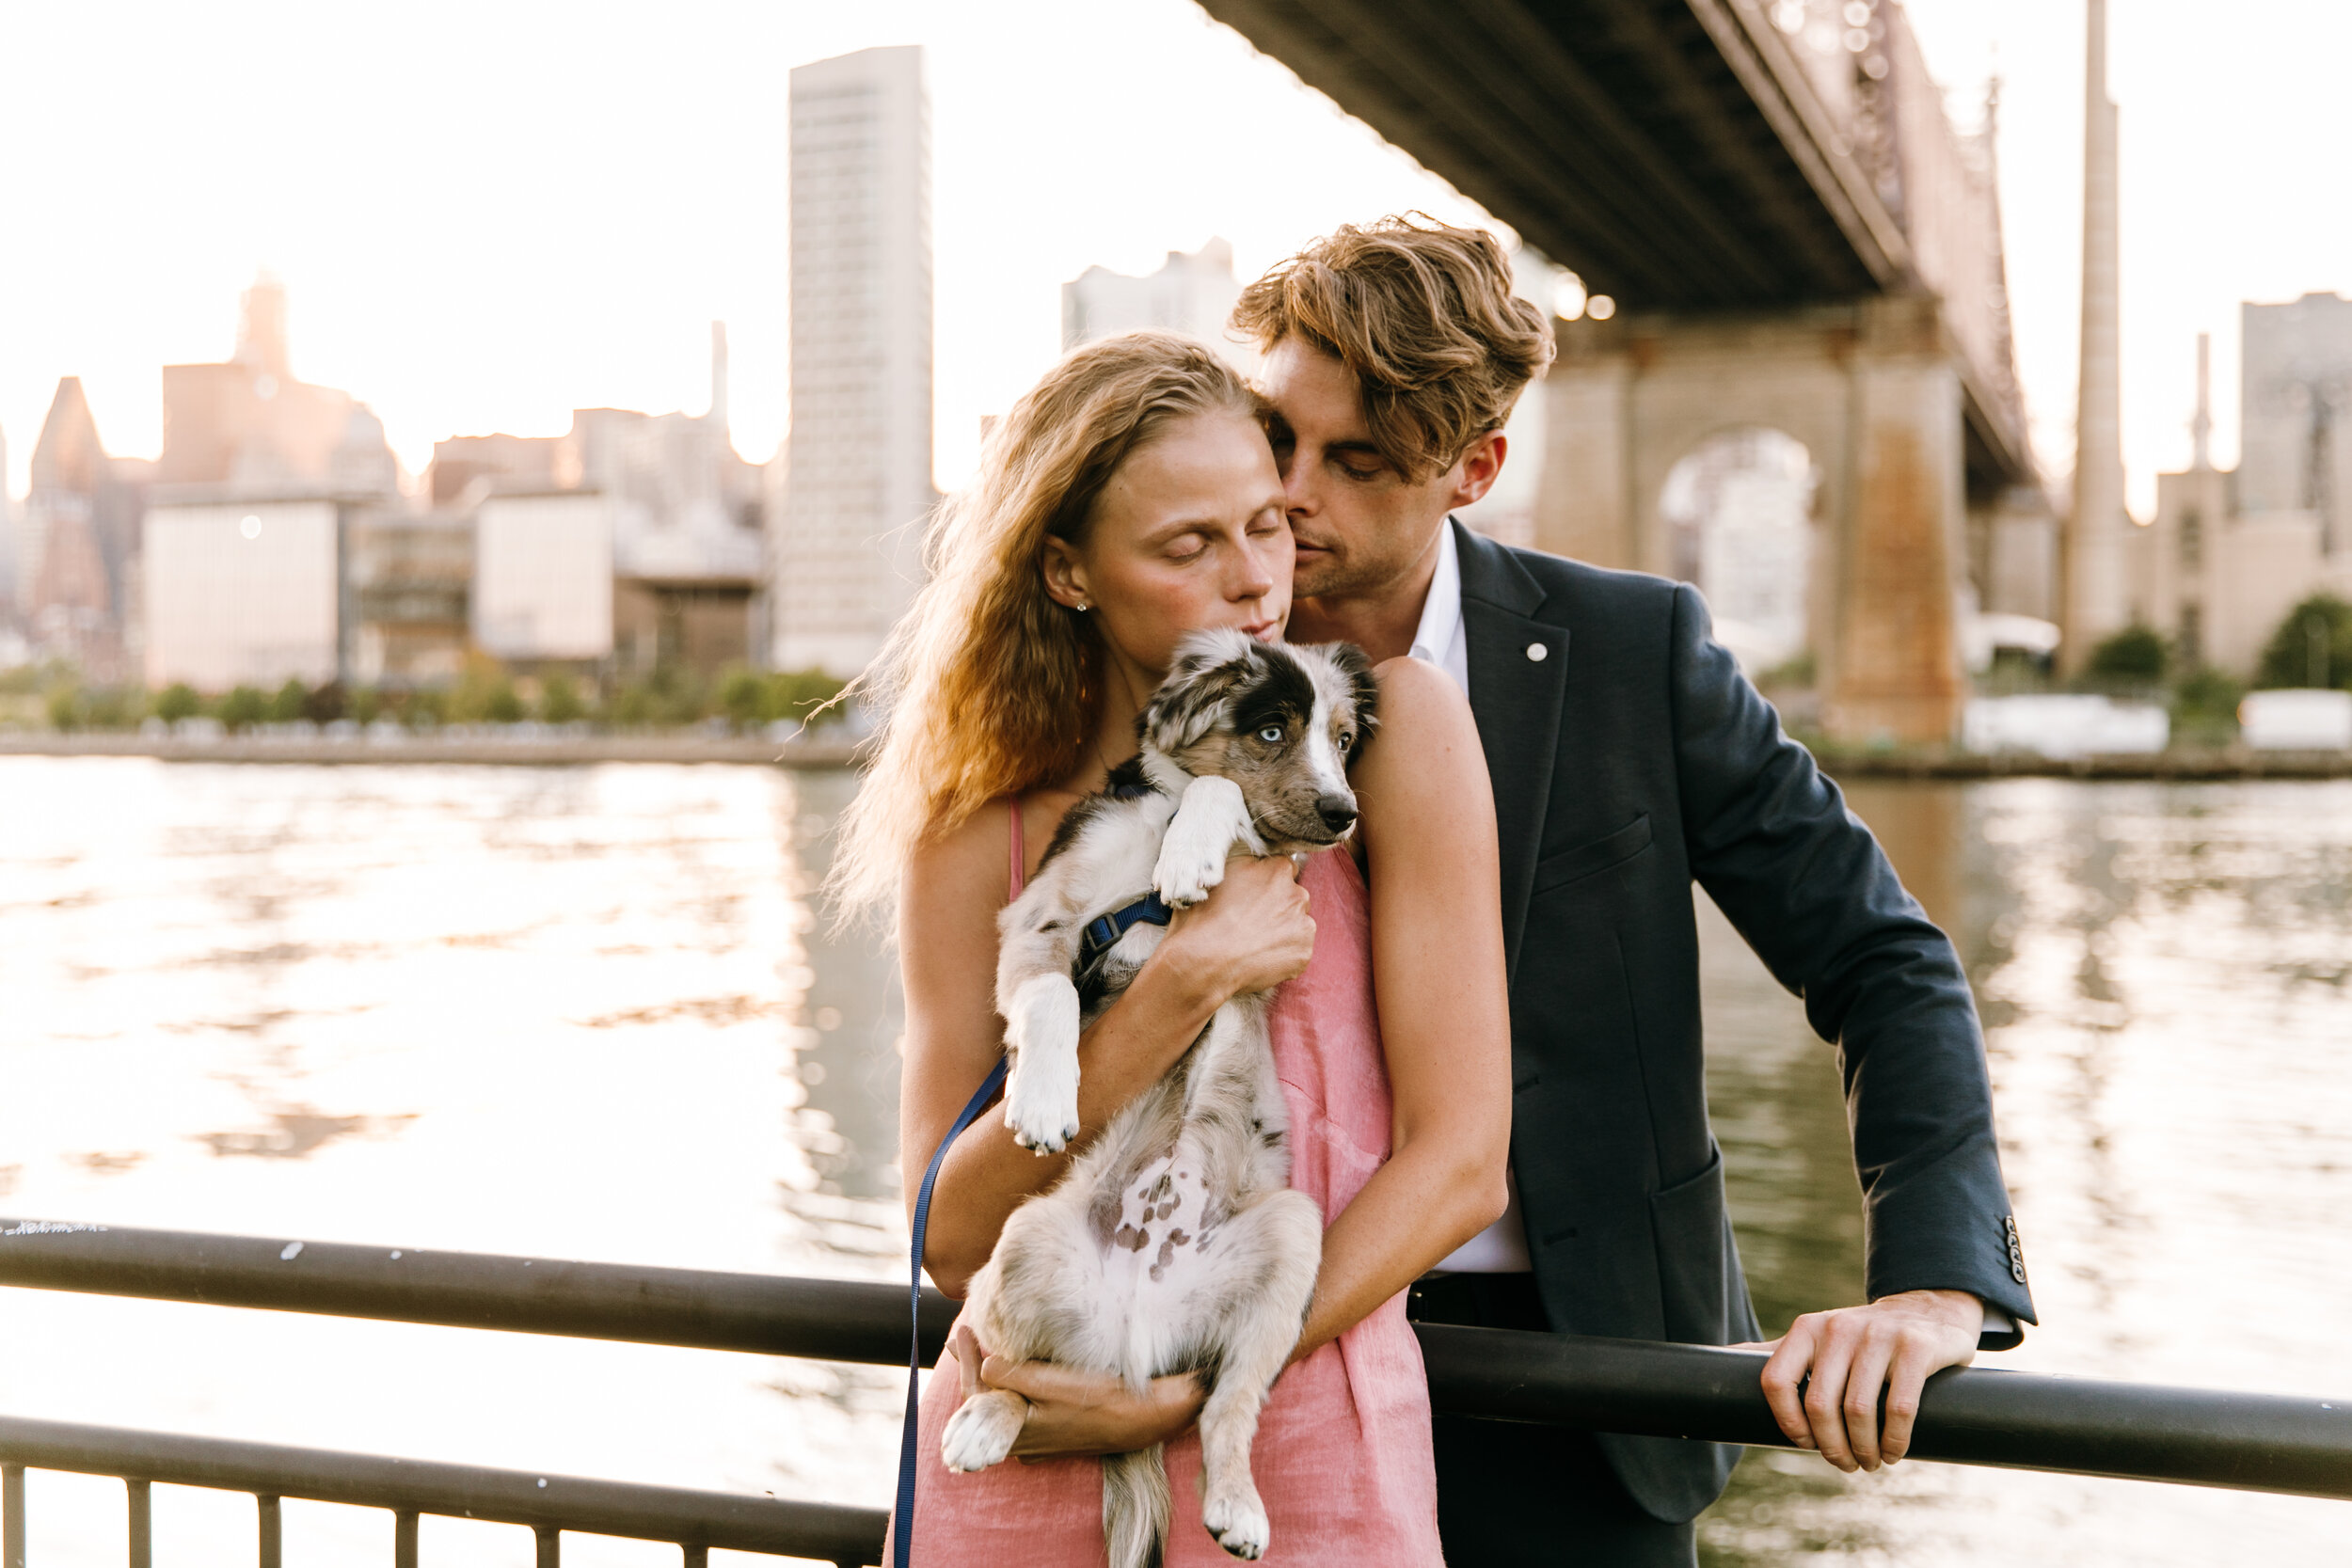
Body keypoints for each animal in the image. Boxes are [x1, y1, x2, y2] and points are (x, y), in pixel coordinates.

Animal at [936, 629, 1374, 1568]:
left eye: (1345, 739)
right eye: (1273, 730)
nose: (1343, 812)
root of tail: (1132, 1334)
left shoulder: (1274, 881)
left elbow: (1224, 805)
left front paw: (1193, 853)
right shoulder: (1040, 916)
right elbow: (1052, 997)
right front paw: (1041, 1099)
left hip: (1291, 1240)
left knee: (1226, 1406)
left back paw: (1238, 1505)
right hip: (1023, 1243)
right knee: (1015, 1375)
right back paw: (983, 1423)